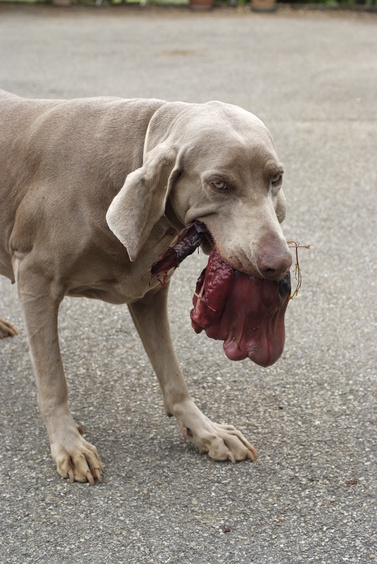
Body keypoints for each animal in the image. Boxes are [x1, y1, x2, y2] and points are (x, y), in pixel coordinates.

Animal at [0, 90, 290, 482]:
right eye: (219, 184)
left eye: (275, 178)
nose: (279, 263)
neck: (133, 147)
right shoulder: (36, 279)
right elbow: (53, 380)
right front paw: (69, 445)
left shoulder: (149, 291)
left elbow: (173, 376)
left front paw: (205, 431)